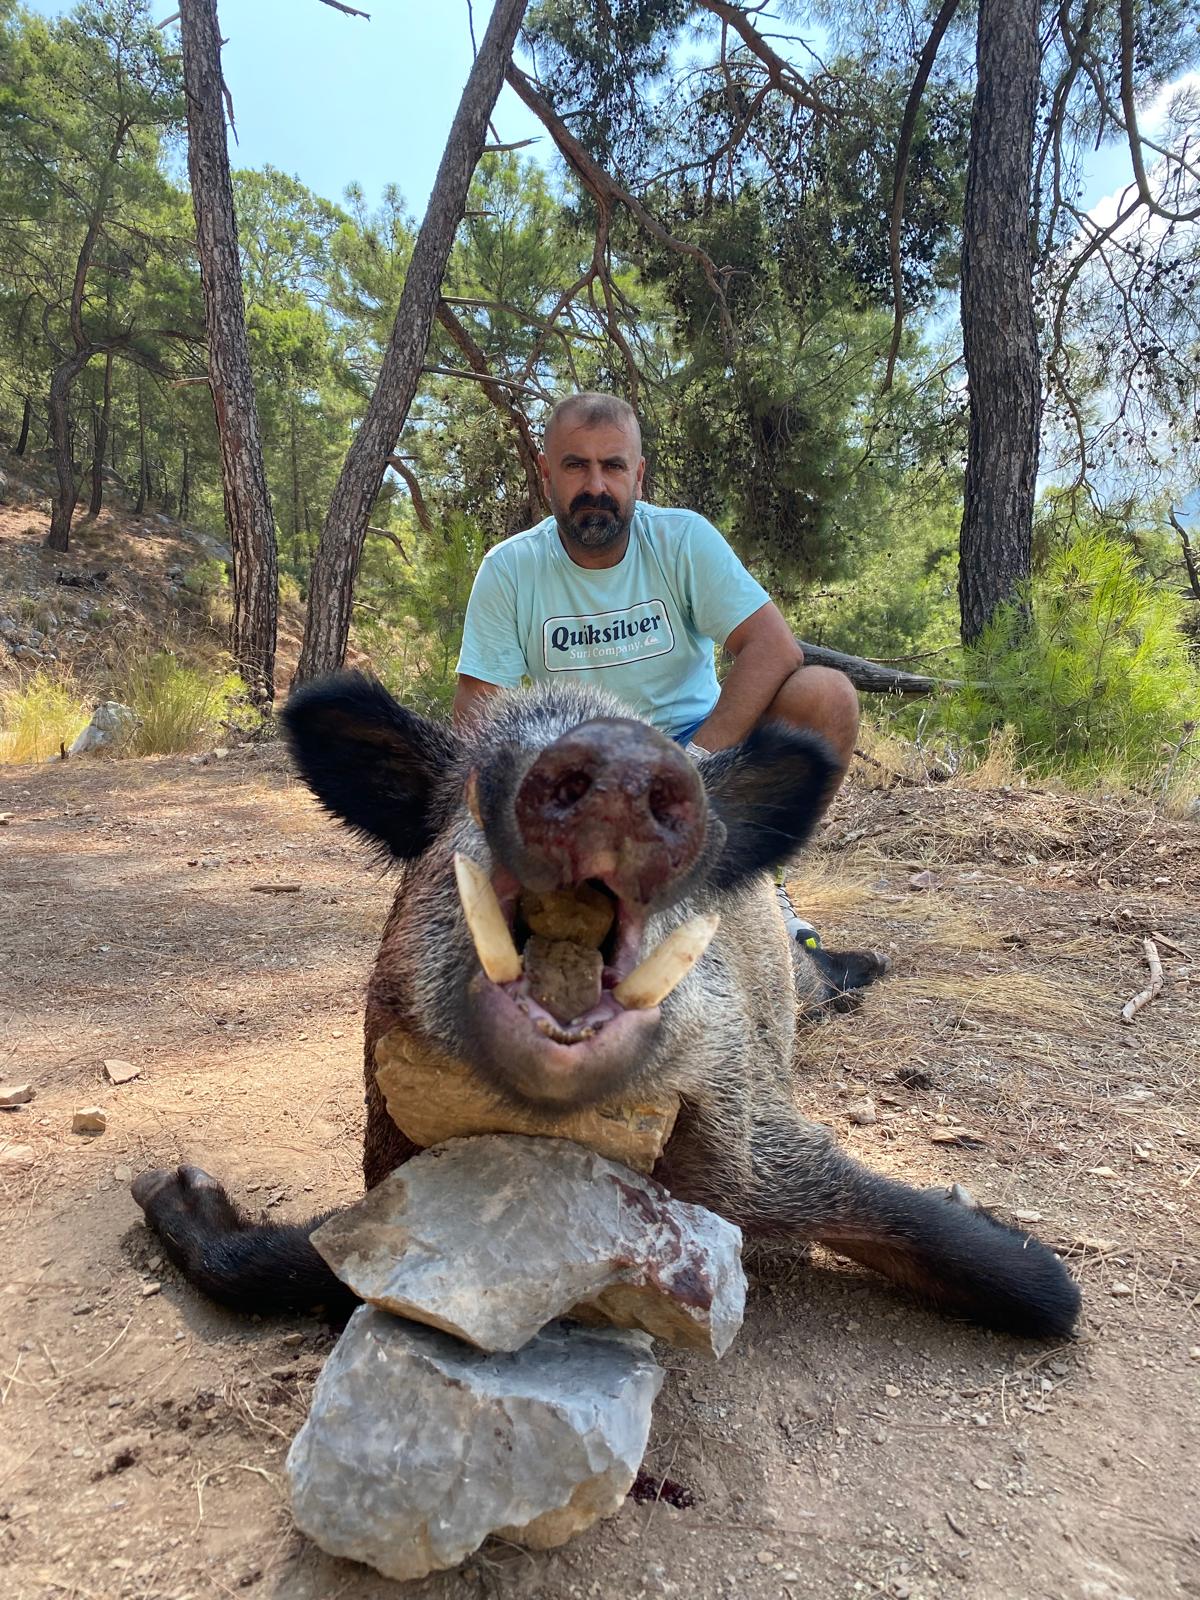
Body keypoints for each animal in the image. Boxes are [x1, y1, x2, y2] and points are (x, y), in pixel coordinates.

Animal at [132, 673, 1080, 1338]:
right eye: (472, 783)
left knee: (822, 981)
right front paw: (165, 1185)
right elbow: (293, 1266)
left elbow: (1032, 1289)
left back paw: (872, 965)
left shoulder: (766, 1148)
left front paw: (1010, 1238)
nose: (621, 758)